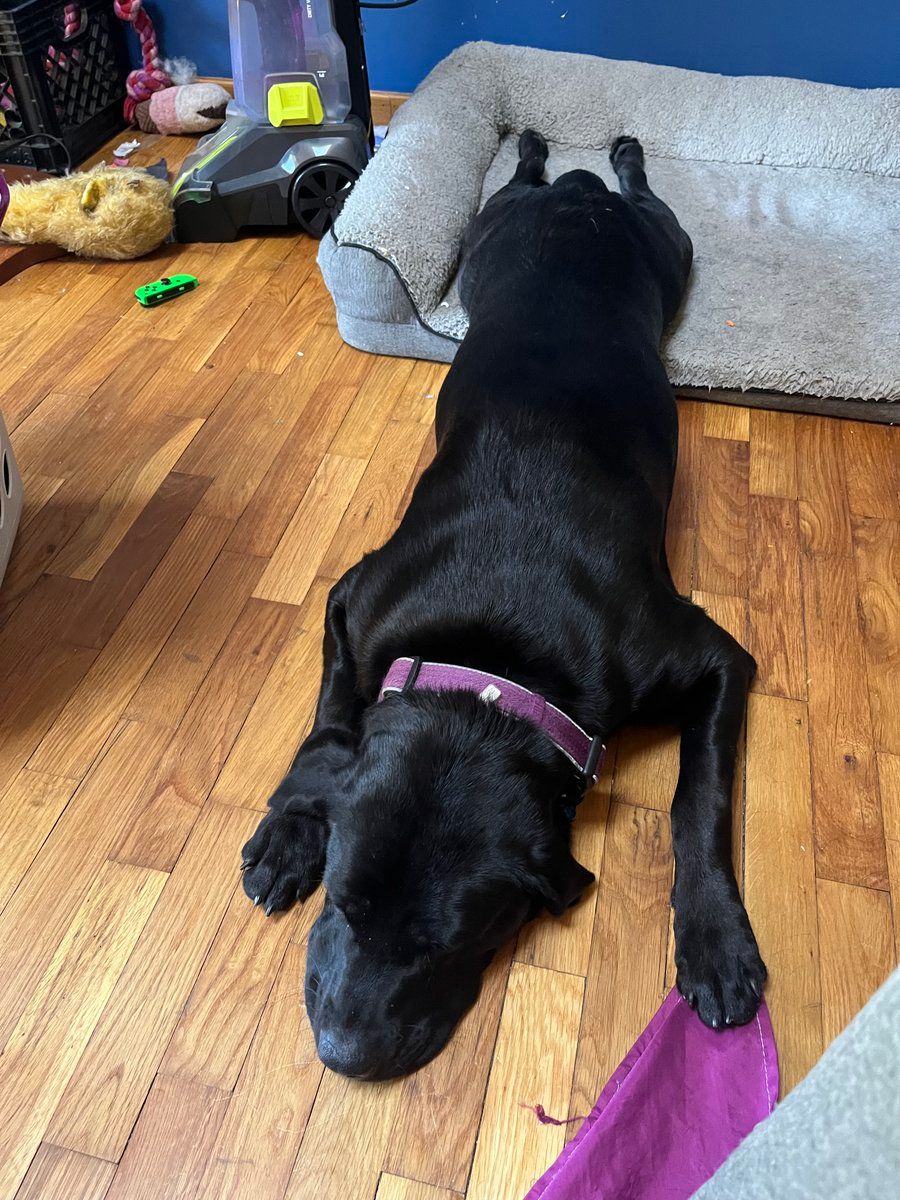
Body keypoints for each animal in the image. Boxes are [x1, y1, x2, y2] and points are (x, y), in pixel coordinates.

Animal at [241, 133, 767, 1080]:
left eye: (449, 940)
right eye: (343, 898)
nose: (342, 1054)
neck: (493, 665)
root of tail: (576, 194)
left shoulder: (712, 660)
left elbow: (698, 802)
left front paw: (715, 940)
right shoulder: (353, 600)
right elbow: (329, 721)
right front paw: (288, 830)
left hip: (668, 249)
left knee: (638, 190)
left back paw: (609, 150)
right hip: (491, 236)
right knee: (530, 179)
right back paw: (537, 147)